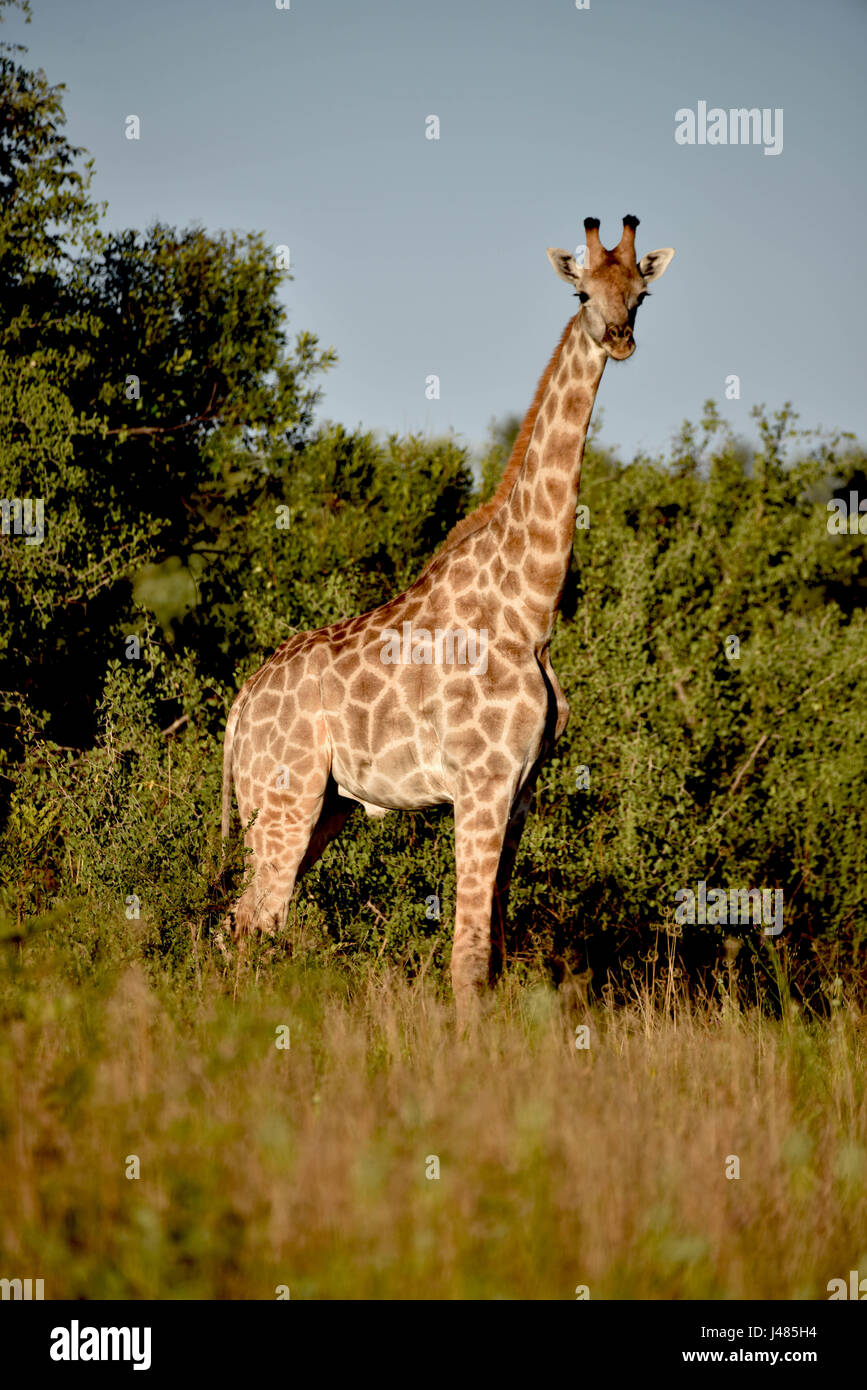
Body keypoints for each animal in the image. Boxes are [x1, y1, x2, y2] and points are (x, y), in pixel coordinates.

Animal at [219, 216, 675, 1023]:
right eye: (581, 292)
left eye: (642, 294)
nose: (618, 337)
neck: (529, 610)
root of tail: (241, 705)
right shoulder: (480, 783)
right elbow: (464, 960)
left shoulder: (520, 792)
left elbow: (492, 954)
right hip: (282, 797)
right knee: (253, 920)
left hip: (320, 806)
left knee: (247, 921)